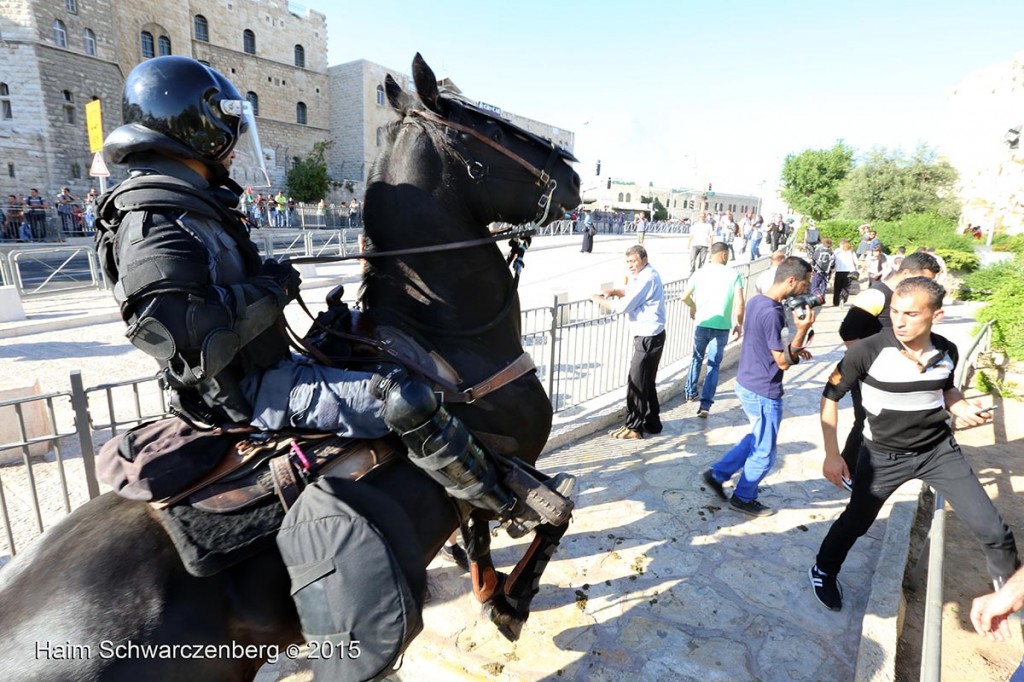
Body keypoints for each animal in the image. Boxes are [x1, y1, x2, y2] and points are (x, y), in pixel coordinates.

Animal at [0, 54, 577, 679]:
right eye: (490, 126)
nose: (572, 173)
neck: (446, 338)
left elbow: (480, 540)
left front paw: (493, 592)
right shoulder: (516, 455)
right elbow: (553, 514)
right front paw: (512, 601)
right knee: (410, 404)